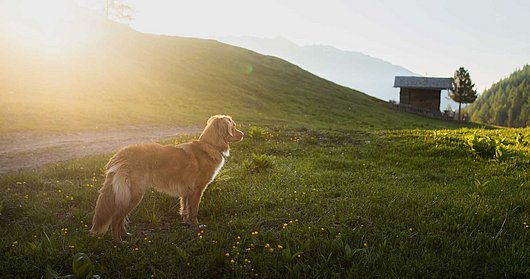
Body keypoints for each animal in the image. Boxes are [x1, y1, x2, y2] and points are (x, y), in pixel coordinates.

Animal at [89, 115, 243, 242]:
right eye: (234, 126)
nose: (243, 134)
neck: (210, 145)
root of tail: (120, 154)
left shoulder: (186, 192)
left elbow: (185, 209)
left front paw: (187, 222)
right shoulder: (197, 190)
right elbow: (194, 211)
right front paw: (196, 226)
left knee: (120, 219)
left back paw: (125, 235)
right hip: (134, 195)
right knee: (116, 219)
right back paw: (119, 242)